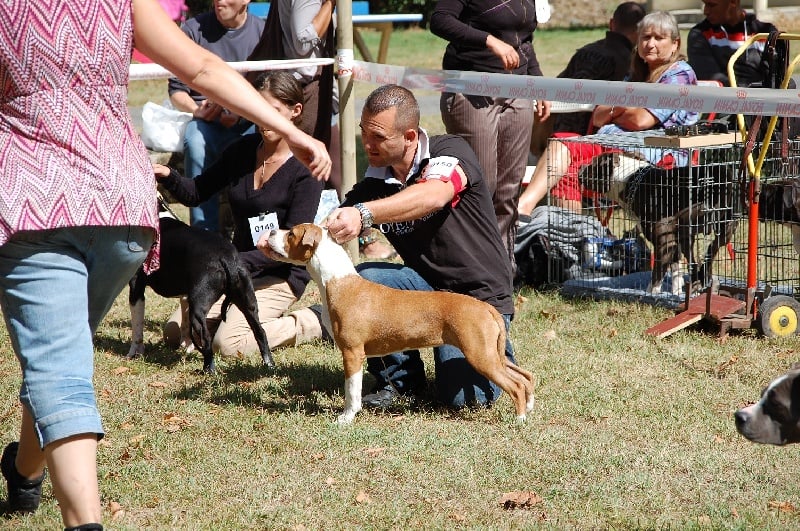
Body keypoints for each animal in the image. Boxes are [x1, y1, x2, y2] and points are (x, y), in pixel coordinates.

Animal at [128, 205, 272, 374]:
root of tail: (226, 258)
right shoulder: (185, 296)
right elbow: (184, 326)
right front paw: (186, 346)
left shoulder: (136, 287)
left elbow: (137, 327)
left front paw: (134, 353)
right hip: (248, 303)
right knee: (260, 331)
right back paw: (269, 365)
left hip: (198, 311)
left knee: (206, 338)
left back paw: (208, 370)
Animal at [260, 223, 536, 424]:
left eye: (291, 233)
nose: (271, 231)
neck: (337, 281)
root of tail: (486, 308)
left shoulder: (352, 353)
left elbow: (352, 391)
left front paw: (346, 418)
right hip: (492, 354)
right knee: (524, 377)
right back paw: (530, 407)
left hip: (480, 355)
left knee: (514, 385)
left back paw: (520, 419)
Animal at [576, 152, 736, 298]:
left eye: (592, 164)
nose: (579, 167)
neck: (628, 179)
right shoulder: (674, 242)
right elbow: (675, 269)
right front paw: (677, 293)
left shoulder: (664, 240)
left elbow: (658, 271)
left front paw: (651, 293)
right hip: (720, 229)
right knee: (706, 253)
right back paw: (699, 282)